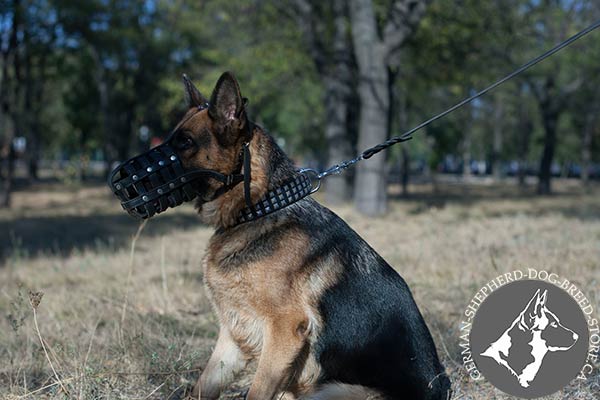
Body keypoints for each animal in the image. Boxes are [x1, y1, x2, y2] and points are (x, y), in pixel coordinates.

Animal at [171, 72, 448, 400]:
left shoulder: (284, 330)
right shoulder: (234, 334)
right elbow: (202, 386)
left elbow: (256, 392)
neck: (263, 207)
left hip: (336, 392)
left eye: (185, 143)